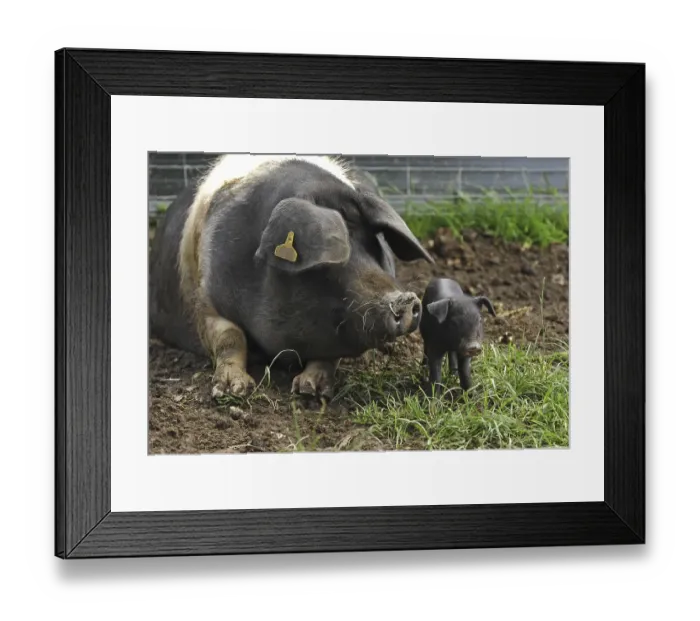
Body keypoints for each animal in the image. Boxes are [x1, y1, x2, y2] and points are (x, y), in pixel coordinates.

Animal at [148, 154, 434, 401]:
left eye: (374, 247)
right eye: (326, 264)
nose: (406, 300)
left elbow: (331, 354)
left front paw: (310, 389)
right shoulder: (205, 304)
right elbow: (231, 338)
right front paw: (233, 389)